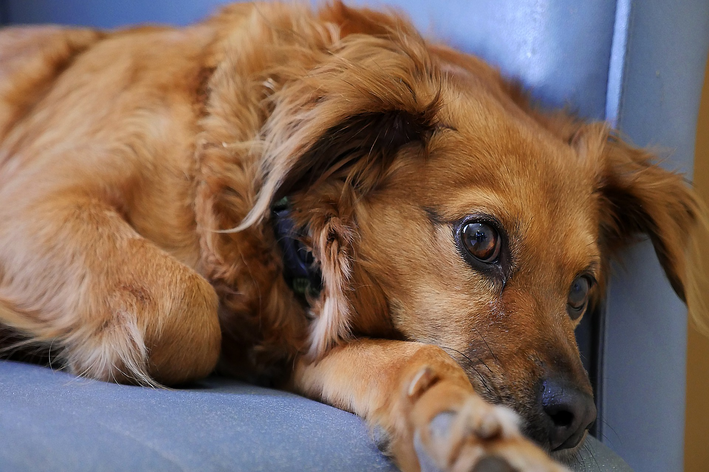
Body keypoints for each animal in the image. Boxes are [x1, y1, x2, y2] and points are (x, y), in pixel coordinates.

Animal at [0, 1, 700, 470]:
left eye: (581, 289)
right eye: (480, 239)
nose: (577, 415)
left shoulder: (296, 346)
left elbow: (414, 360)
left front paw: (463, 426)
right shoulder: (32, 200)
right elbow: (186, 308)